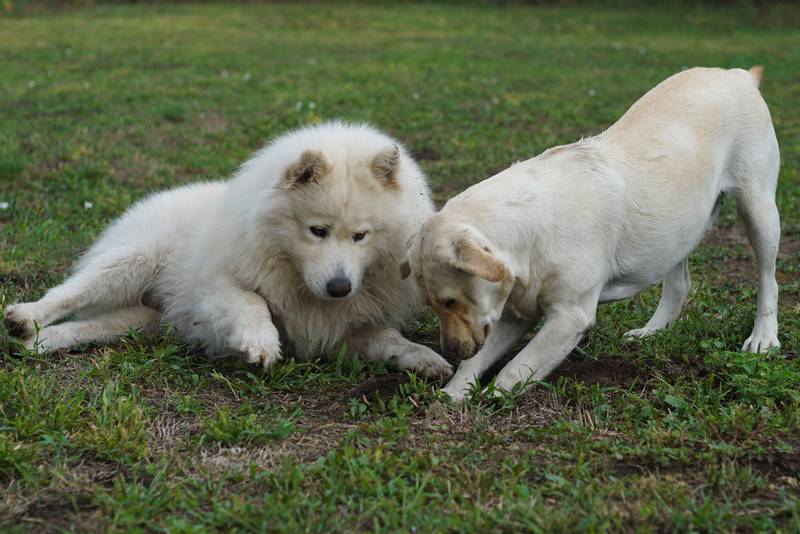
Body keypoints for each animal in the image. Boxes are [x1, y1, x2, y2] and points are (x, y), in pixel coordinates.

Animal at [4, 122, 456, 382]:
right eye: (317, 231)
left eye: (361, 236)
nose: (340, 287)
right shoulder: (215, 283)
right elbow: (252, 302)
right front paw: (259, 344)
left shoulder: (342, 330)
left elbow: (388, 339)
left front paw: (425, 358)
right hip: (128, 265)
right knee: (65, 294)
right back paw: (23, 318)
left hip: (141, 320)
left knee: (86, 327)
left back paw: (37, 344)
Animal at [400, 67, 780, 402]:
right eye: (431, 305)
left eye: (450, 301)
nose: (450, 350)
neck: (529, 233)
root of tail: (736, 74)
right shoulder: (514, 314)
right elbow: (478, 360)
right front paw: (453, 393)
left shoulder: (569, 318)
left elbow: (517, 367)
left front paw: (491, 397)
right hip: (679, 228)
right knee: (679, 285)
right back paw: (652, 330)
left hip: (759, 210)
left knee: (768, 280)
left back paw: (763, 337)